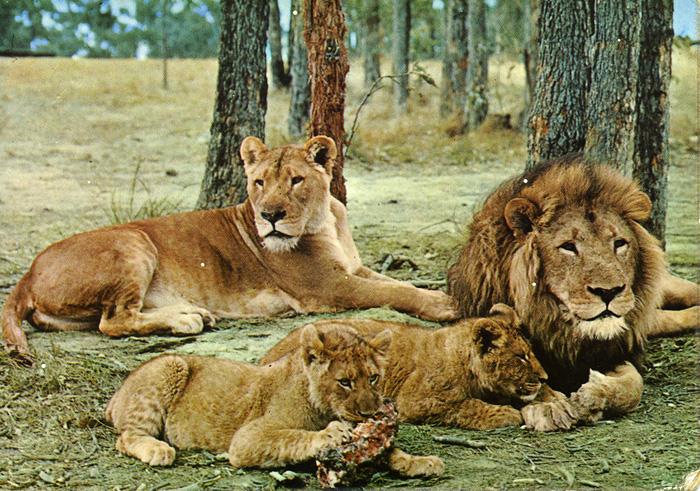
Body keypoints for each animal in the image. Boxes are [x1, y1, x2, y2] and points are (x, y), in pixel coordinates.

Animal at [0, 136, 456, 360]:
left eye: (295, 180)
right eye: (259, 182)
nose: (270, 215)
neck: (325, 217)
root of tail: (26, 273)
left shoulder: (353, 269)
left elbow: (396, 282)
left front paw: (439, 291)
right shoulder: (329, 288)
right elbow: (392, 291)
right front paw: (445, 304)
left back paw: (192, 313)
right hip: (133, 241)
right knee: (113, 321)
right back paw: (186, 319)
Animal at [105, 324, 442, 478]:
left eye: (373, 378)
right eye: (344, 382)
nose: (370, 413)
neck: (321, 406)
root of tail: (117, 393)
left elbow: (388, 450)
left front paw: (419, 461)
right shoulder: (246, 439)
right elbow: (291, 436)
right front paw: (329, 434)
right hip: (170, 365)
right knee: (126, 437)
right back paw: (158, 449)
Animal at [260, 304, 568, 430]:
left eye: (530, 353)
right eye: (520, 357)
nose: (545, 376)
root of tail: (266, 357)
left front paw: (555, 398)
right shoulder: (415, 400)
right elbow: (465, 405)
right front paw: (504, 414)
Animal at [446, 157, 696, 430]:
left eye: (619, 243)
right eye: (568, 246)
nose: (609, 291)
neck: (562, 331)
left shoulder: (614, 353)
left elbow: (633, 387)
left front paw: (592, 397)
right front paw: (552, 406)